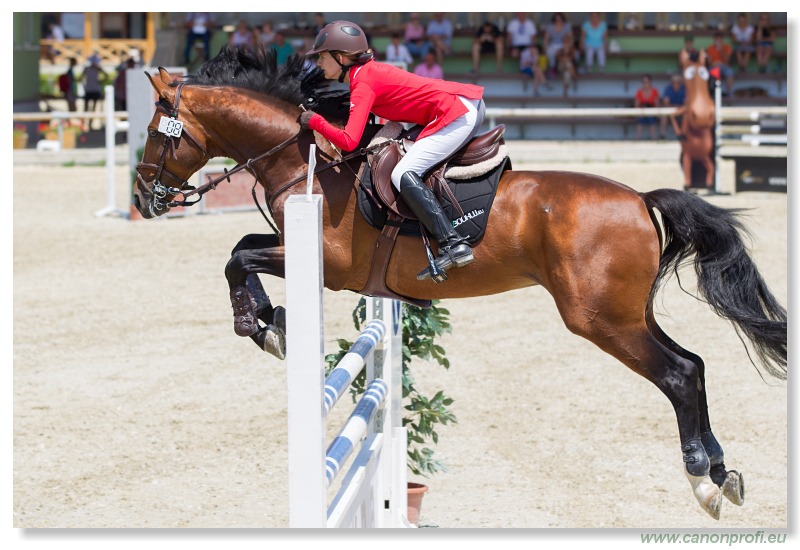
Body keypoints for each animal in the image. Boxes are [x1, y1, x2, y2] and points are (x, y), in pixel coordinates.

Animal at [133, 47, 788, 520]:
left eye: (160, 133)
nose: (143, 199)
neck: (305, 159)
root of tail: (641, 199)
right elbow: (240, 252)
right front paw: (270, 323)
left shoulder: (327, 264)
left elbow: (239, 259)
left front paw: (261, 325)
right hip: (628, 313)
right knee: (694, 365)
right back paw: (722, 474)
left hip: (600, 319)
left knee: (677, 375)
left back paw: (701, 478)